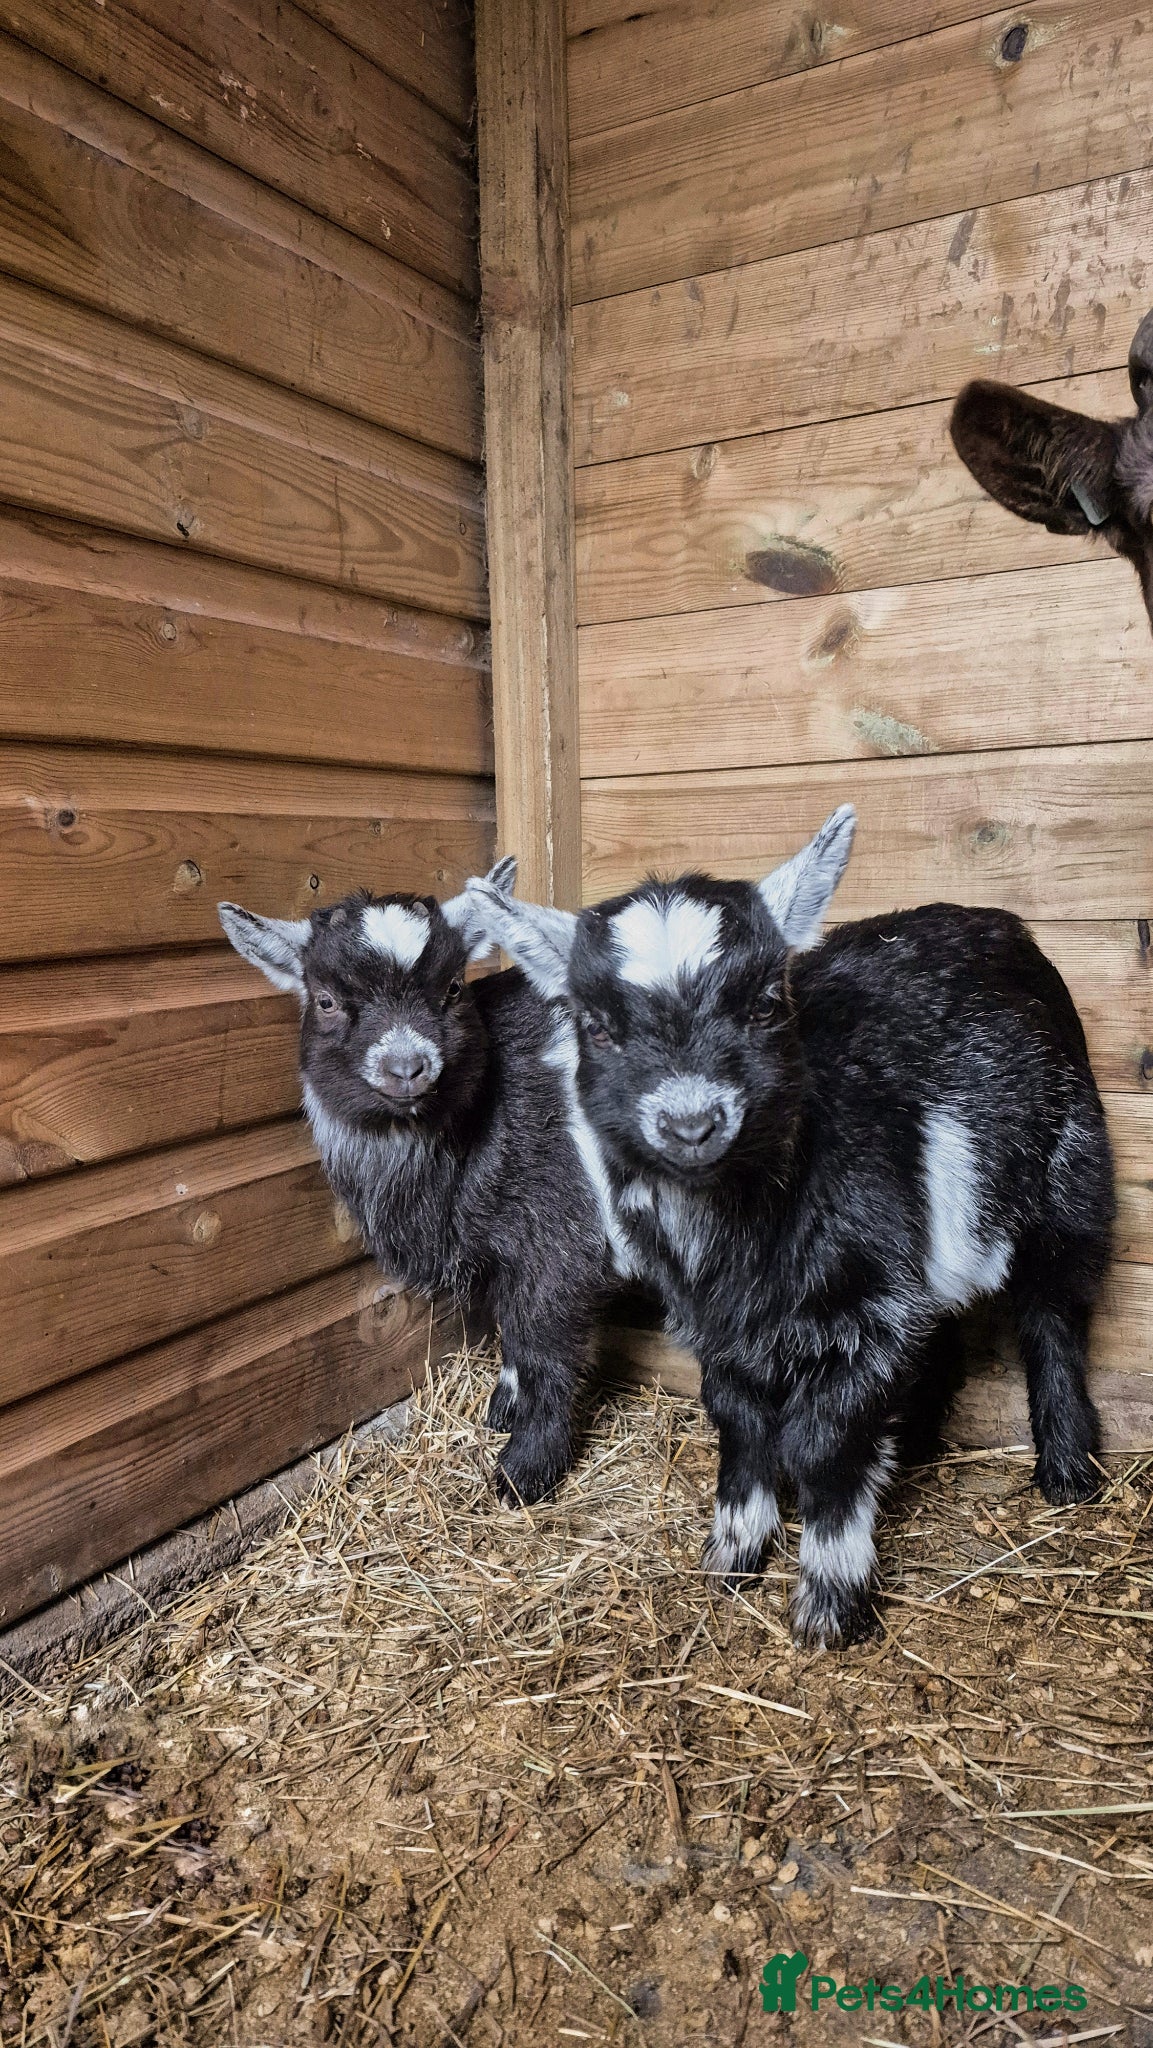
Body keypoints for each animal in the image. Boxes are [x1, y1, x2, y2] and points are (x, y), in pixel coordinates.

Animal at [218, 866, 610, 1506]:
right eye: (326, 1000)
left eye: (452, 988)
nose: (407, 1068)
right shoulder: (508, 1246)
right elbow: (510, 1327)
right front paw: (503, 1408)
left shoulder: (560, 1235)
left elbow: (543, 1344)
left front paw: (523, 1472)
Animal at [466, 814, 1114, 1648]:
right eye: (597, 1027)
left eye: (766, 1004)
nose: (691, 1123)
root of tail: (998, 924)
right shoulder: (719, 1319)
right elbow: (737, 1419)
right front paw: (734, 1553)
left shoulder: (866, 1314)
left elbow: (818, 1441)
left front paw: (830, 1599)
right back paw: (915, 1443)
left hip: (1071, 1172)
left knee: (1052, 1311)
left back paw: (1067, 1471)